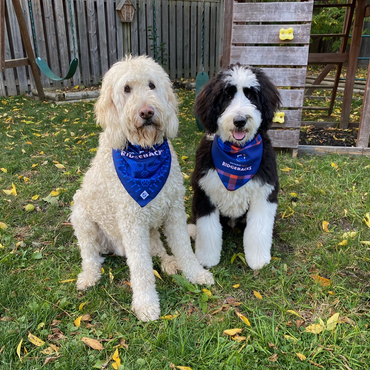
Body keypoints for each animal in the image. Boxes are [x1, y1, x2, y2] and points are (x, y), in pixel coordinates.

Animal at [70, 55, 214, 320]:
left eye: (151, 85)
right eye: (126, 89)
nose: (147, 112)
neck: (144, 153)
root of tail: (116, 247)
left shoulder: (174, 210)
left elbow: (183, 247)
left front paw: (195, 273)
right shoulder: (132, 222)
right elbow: (141, 267)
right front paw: (146, 303)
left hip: (151, 226)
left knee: (157, 249)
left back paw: (169, 262)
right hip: (82, 216)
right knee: (90, 255)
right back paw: (89, 276)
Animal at [191, 64, 280, 268]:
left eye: (251, 94)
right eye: (227, 95)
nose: (240, 120)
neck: (237, 153)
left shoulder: (264, 194)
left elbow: (258, 230)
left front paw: (258, 259)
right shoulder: (206, 192)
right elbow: (208, 230)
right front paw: (207, 258)